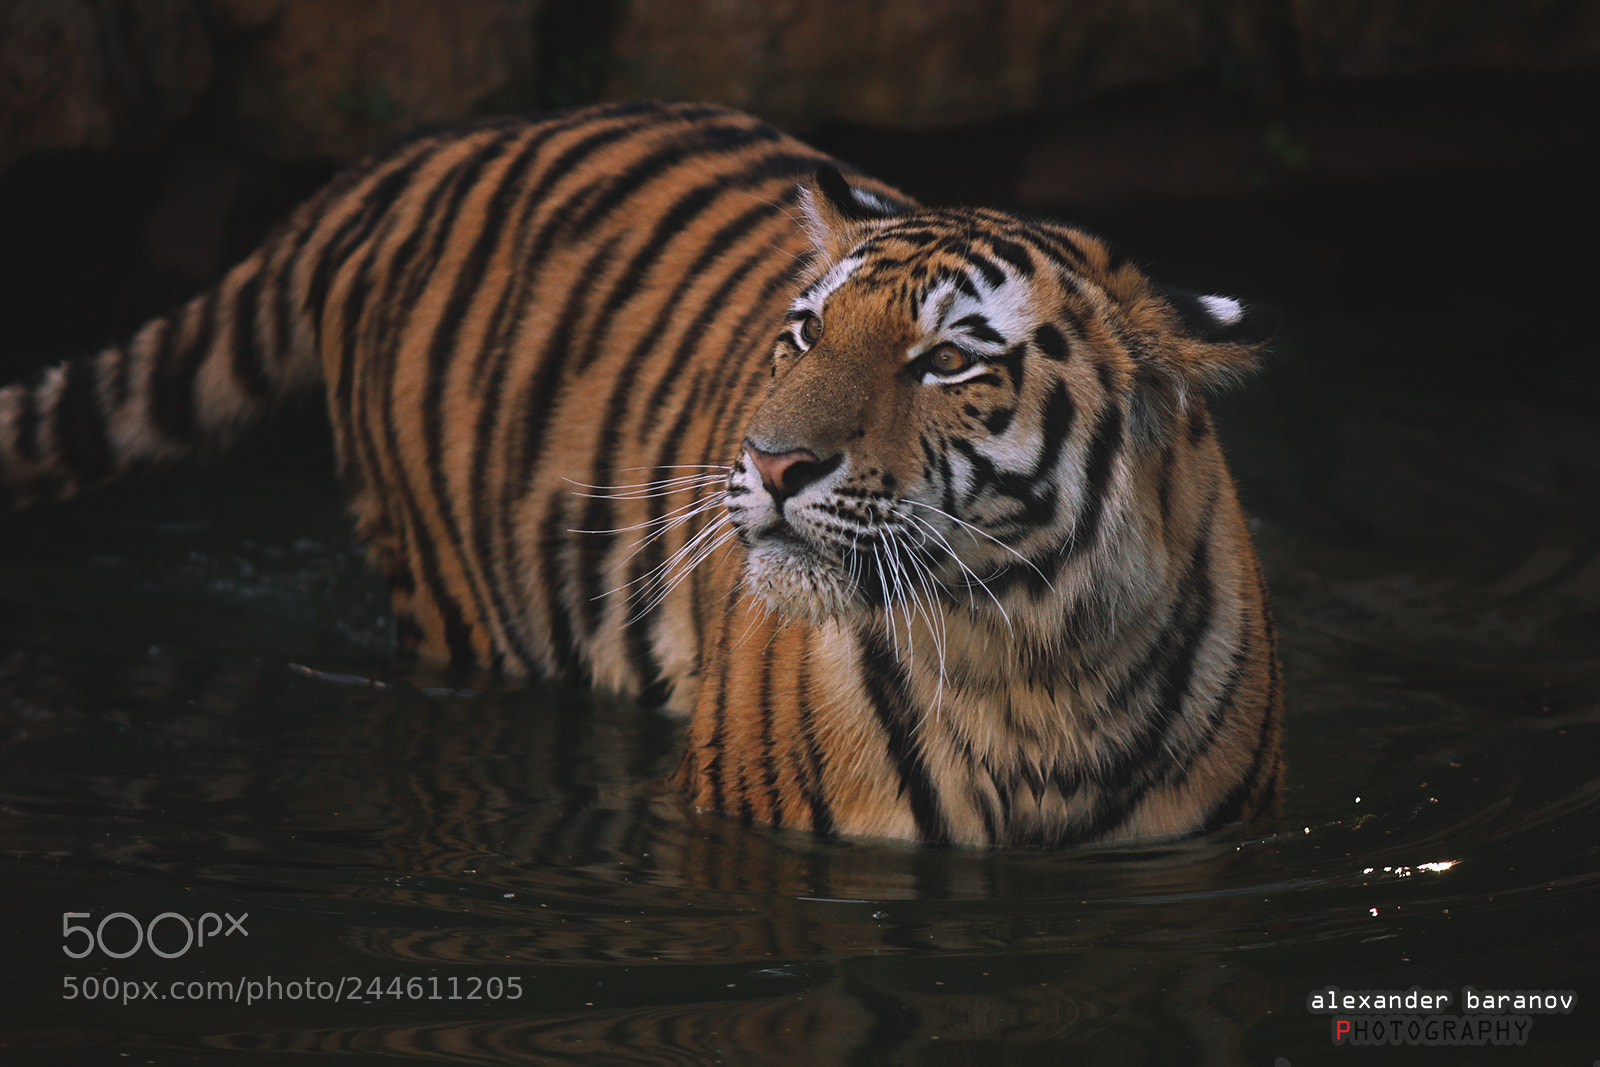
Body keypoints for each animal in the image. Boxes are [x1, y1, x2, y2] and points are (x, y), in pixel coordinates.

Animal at [0, 100, 1282, 848]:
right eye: (806, 332)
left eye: (949, 360)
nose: (772, 461)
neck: (1029, 668)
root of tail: (420, 148)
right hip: (459, 604)